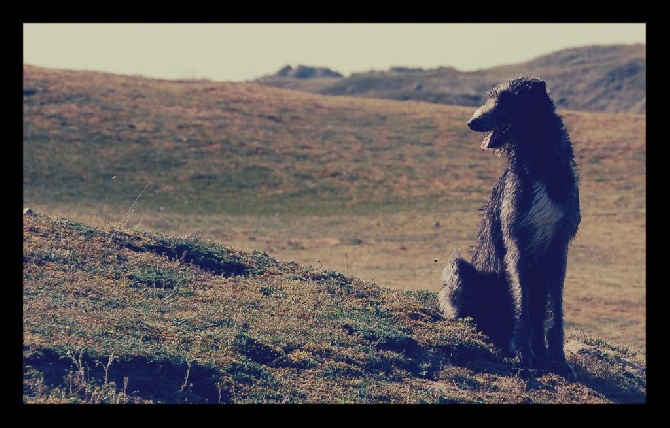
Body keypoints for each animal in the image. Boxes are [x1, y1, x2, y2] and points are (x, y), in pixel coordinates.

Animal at [440, 75, 584, 376]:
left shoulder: (559, 246)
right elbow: (522, 302)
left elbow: (556, 309)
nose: (471, 122)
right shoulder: (517, 242)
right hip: (460, 269)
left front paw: (558, 359)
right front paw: (524, 356)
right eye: (491, 97)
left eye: (506, 100)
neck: (538, 162)